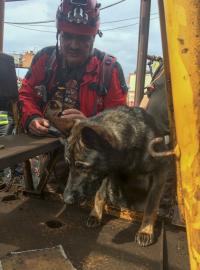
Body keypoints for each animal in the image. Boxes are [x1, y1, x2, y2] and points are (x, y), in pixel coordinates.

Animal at [62, 106, 167, 247]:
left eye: (83, 167)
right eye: (69, 165)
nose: (66, 200)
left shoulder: (160, 173)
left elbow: (151, 205)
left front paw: (145, 230)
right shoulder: (106, 173)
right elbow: (99, 195)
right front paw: (96, 214)